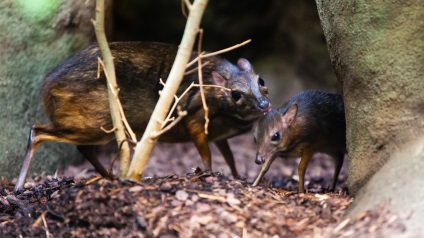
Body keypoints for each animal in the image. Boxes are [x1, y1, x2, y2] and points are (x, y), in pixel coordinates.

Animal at [15, 41, 272, 191]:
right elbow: (207, 155)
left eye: (261, 81)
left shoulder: (220, 136)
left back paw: (110, 177)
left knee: (83, 148)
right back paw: (18, 186)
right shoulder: (195, 120)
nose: (265, 105)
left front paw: (239, 177)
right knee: (37, 131)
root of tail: (48, 87)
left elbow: (230, 157)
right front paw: (209, 175)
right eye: (236, 94)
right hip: (94, 124)